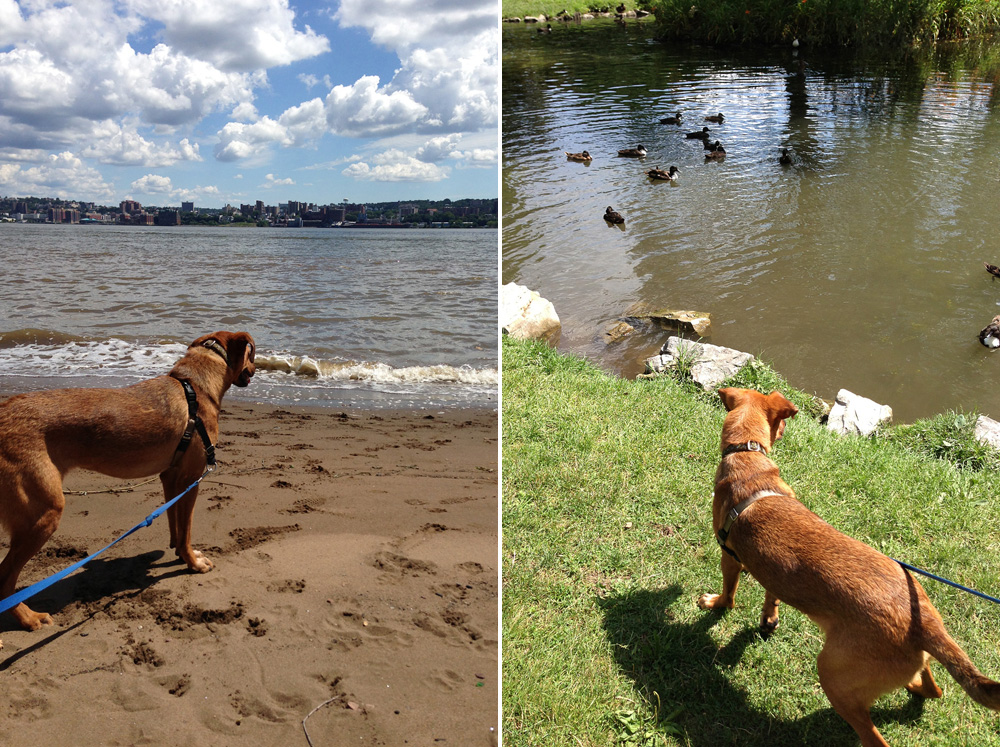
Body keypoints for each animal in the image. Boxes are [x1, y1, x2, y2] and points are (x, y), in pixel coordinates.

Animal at [0, 332, 256, 632]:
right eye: (251, 355)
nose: (256, 369)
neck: (195, 386)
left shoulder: (171, 477)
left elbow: (175, 523)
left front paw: (180, 553)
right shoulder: (191, 479)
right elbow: (187, 530)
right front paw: (192, 562)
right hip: (44, 512)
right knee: (5, 581)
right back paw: (29, 618)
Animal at [700, 388, 1000, 744]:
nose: (785, 431)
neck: (747, 458)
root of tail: (926, 625)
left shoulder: (728, 556)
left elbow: (729, 594)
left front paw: (716, 604)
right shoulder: (773, 571)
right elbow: (771, 594)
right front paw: (769, 618)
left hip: (833, 675)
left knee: (873, 734)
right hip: (902, 662)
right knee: (932, 688)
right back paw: (914, 686)